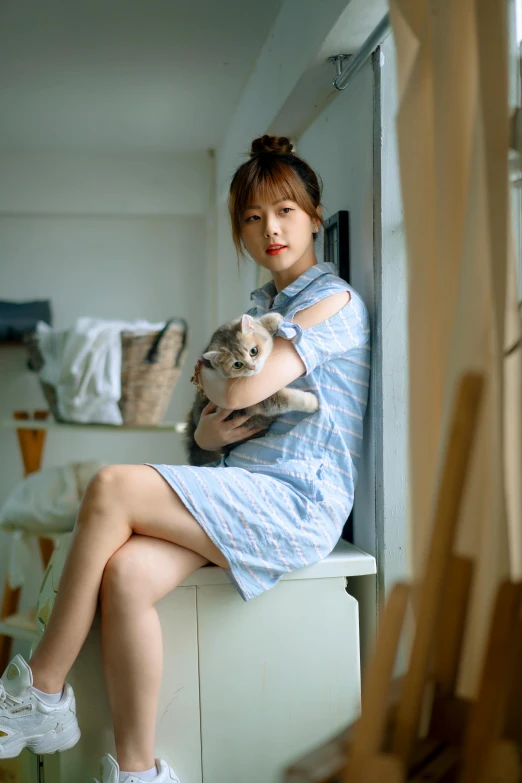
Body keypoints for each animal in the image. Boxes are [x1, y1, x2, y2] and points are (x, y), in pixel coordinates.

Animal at [187, 312, 316, 468]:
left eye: (254, 351)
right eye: (237, 364)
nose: (252, 367)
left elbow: (259, 322)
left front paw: (272, 319)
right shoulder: (257, 403)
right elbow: (286, 399)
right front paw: (312, 402)